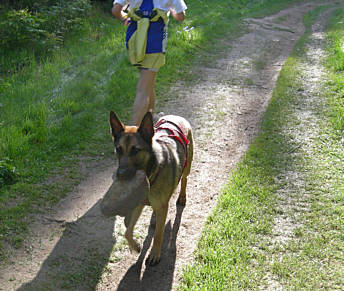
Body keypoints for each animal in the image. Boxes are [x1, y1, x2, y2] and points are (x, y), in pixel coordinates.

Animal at [107, 112, 194, 266]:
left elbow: (158, 234)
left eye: (135, 150)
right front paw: (135, 246)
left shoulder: (161, 207)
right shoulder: (139, 204)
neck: (150, 174)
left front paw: (154, 253)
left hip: (187, 166)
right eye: (118, 149)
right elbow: (127, 231)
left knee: (184, 179)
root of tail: (176, 116)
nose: (120, 175)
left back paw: (182, 197)